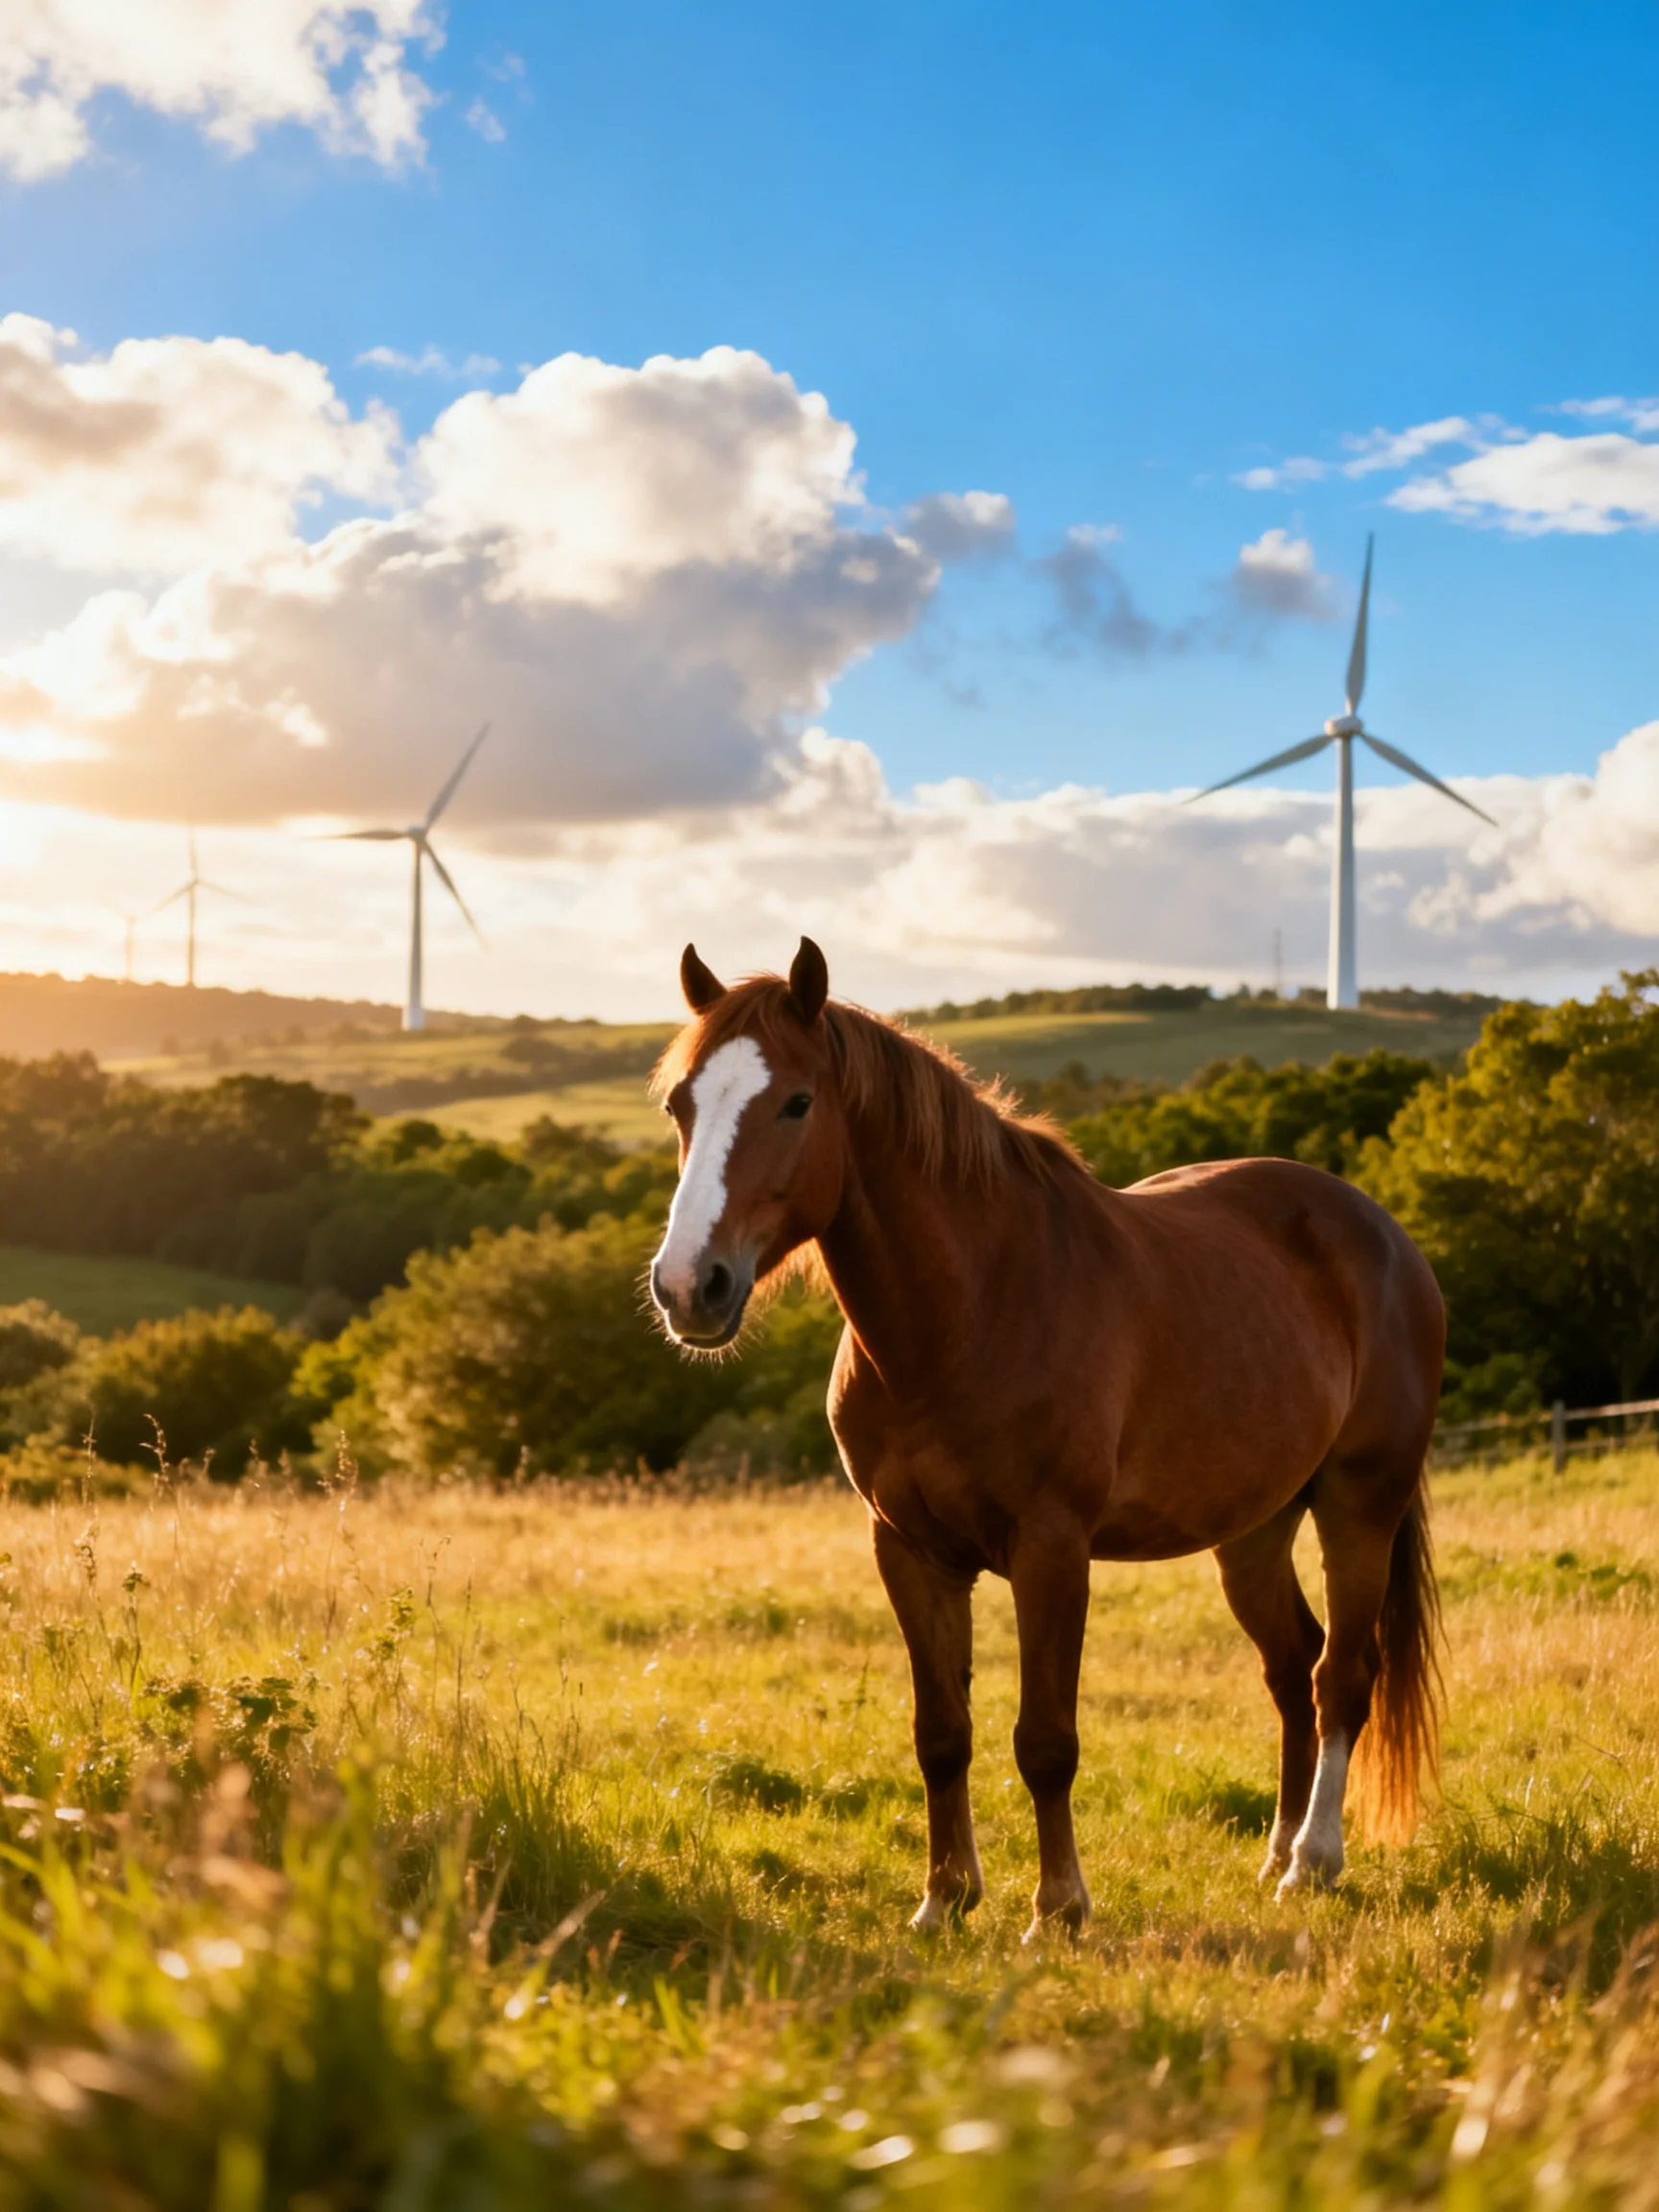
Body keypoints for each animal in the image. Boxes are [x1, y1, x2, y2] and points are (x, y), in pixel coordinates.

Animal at [649, 938, 1445, 1937]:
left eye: (795, 1102)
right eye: (681, 1103)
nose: (689, 1287)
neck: (968, 1312)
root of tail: (1384, 1235)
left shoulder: (1051, 1549)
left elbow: (1045, 1739)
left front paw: (1058, 1908)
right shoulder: (906, 1549)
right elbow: (941, 1732)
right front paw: (944, 1900)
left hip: (1358, 1504)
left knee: (1344, 1672)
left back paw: (1313, 1862)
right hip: (1254, 1530)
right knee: (1291, 1665)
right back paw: (1273, 1853)